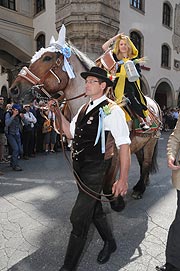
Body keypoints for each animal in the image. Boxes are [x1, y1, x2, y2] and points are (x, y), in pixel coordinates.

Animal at [8, 35, 162, 211]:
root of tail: (154, 103)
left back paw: (140, 189)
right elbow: (88, 184)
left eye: (47, 58)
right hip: (140, 144)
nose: (14, 89)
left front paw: (116, 201)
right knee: (142, 162)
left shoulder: (115, 155)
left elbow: (107, 184)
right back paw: (140, 185)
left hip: (150, 143)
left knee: (146, 163)